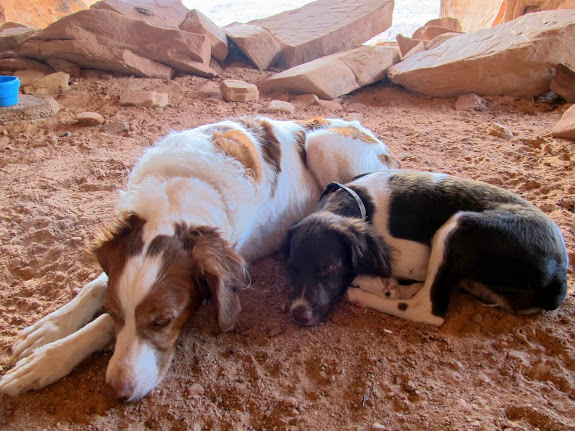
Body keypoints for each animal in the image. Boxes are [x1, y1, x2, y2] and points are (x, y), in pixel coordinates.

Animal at [0, 117, 400, 402]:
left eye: (163, 321)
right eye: (115, 312)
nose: (118, 392)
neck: (175, 190)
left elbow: (97, 327)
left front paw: (48, 358)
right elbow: (95, 289)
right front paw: (50, 329)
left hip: (324, 146)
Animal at [286, 169, 568, 328]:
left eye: (329, 268)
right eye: (293, 270)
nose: (298, 314)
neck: (358, 200)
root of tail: (558, 279)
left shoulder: (413, 258)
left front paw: (371, 282)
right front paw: (384, 284)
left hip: (458, 227)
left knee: (428, 310)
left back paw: (366, 294)